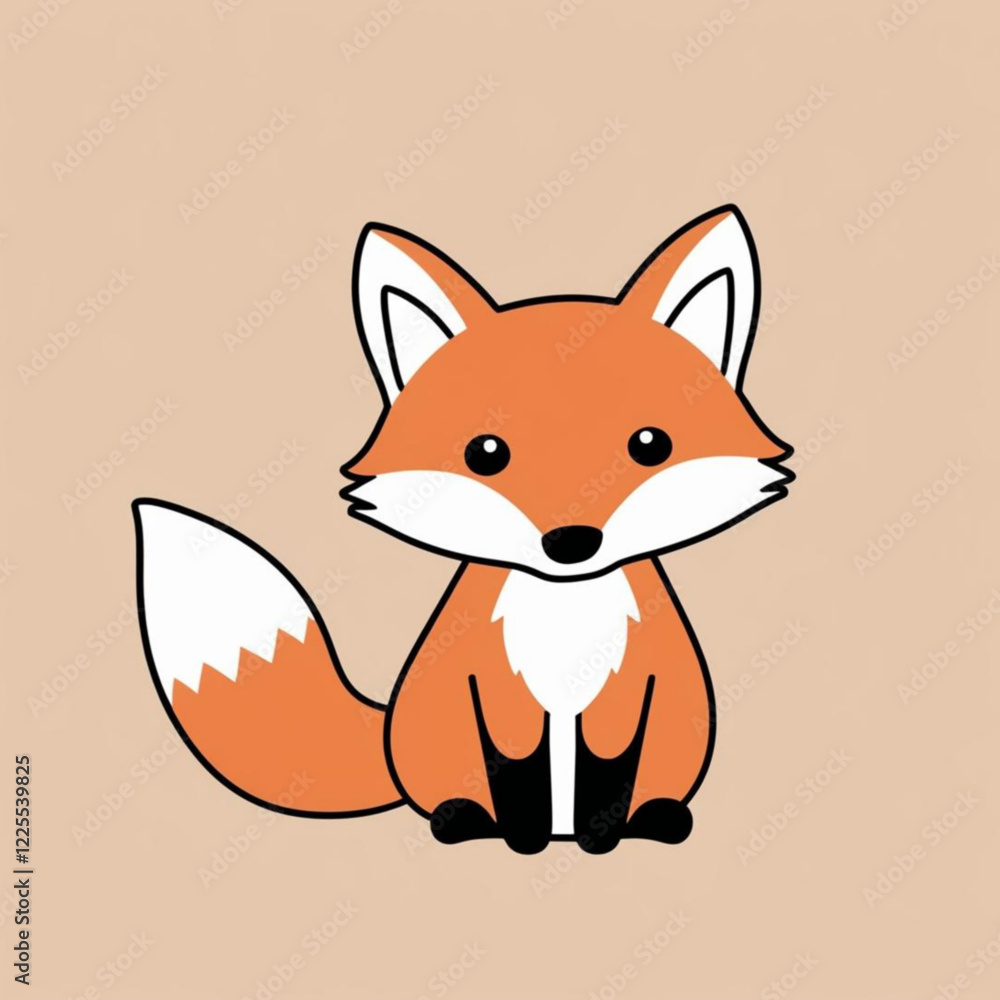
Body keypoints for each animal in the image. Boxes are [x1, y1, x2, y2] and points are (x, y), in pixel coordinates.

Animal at [133, 204, 793, 855]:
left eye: (650, 445)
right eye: (485, 453)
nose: (571, 542)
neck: (564, 615)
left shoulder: (627, 692)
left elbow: (610, 772)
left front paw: (599, 837)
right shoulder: (496, 691)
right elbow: (516, 769)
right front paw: (523, 839)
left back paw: (653, 818)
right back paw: (465, 819)